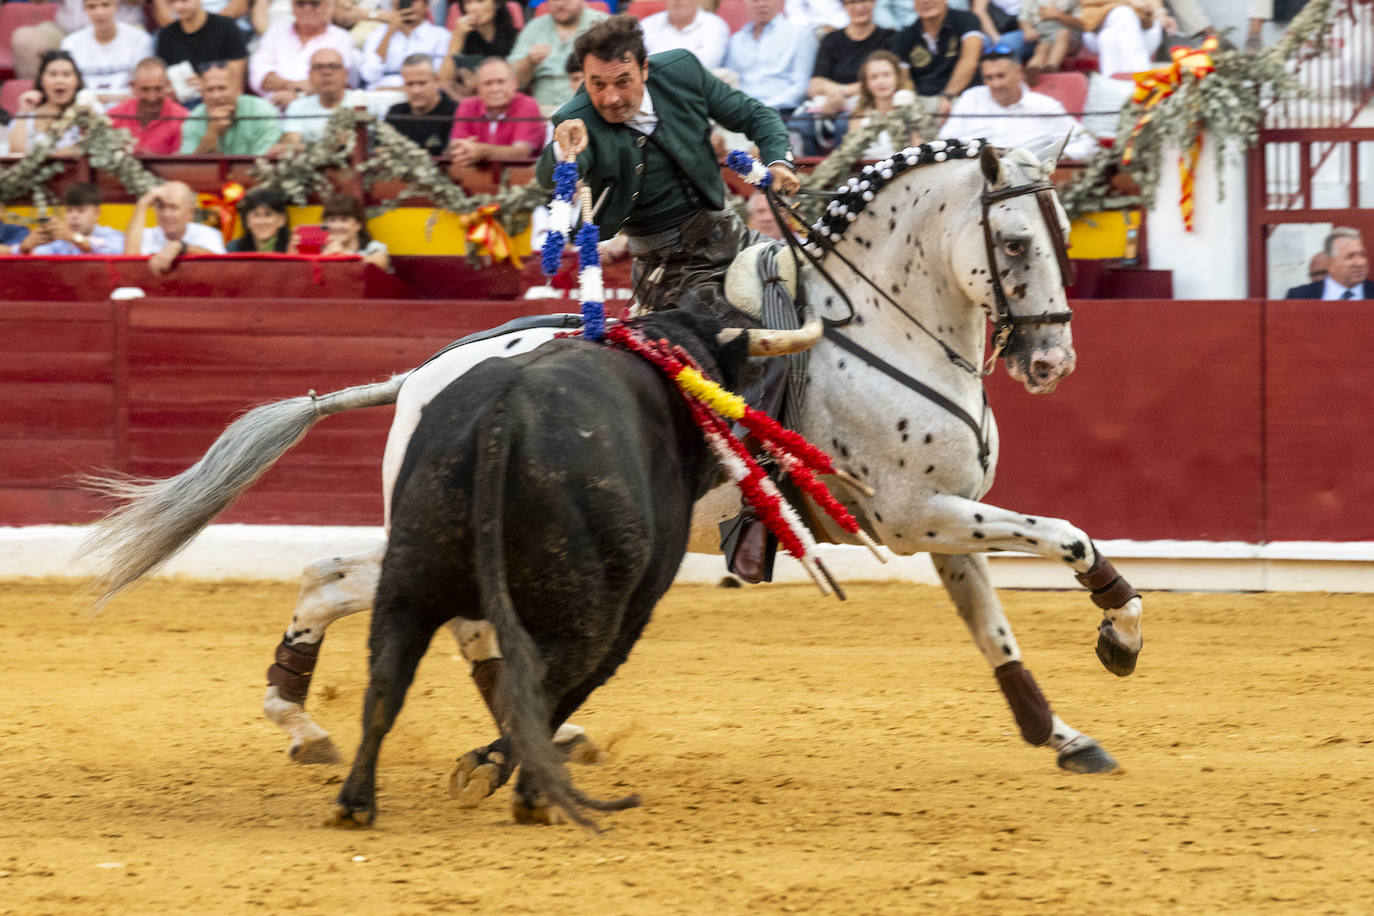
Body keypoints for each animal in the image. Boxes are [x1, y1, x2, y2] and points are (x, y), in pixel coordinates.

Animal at [333, 310, 763, 829]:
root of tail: (502, 415)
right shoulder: (633, 610)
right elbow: (571, 688)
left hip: (407, 585)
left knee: (386, 679)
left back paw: (356, 802)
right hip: (584, 615)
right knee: (544, 687)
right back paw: (530, 793)